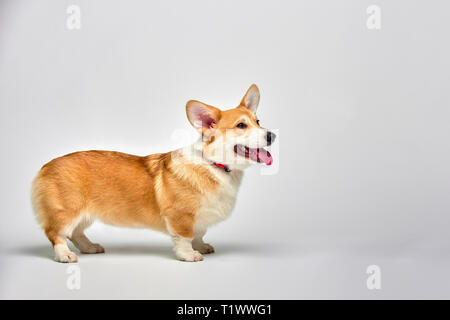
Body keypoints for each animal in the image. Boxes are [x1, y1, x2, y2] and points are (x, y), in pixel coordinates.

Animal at [30, 84, 274, 262]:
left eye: (258, 121)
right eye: (241, 125)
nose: (272, 135)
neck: (214, 165)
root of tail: (45, 166)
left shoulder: (199, 219)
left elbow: (198, 233)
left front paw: (202, 246)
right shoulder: (180, 217)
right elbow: (185, 237)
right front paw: (189, 255)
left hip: (84, 214)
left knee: (76, 233)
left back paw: (89, 247)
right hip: (67, 211)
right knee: (56, 234)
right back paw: (65, 255)